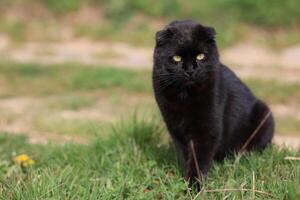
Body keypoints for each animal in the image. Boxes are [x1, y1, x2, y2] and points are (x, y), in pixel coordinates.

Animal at [152, 20, 274, 186]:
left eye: (201, 56)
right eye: (177, 58)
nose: (190, 71)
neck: (185, 95)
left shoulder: (207, 128)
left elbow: (199, 158)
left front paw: (195, 185)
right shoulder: (175, 128)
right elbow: (185, 155)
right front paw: (185, 179)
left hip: (265, 115)